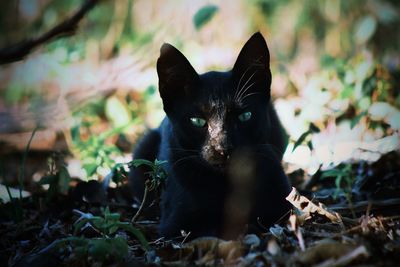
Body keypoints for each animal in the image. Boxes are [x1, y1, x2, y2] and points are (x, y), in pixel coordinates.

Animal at [130, 32, 290, 240]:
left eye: (245, 116)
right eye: (197, 121)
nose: (224, 149)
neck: (225, 185)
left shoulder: (281, 203)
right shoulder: (177, 224)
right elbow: (211, 230)